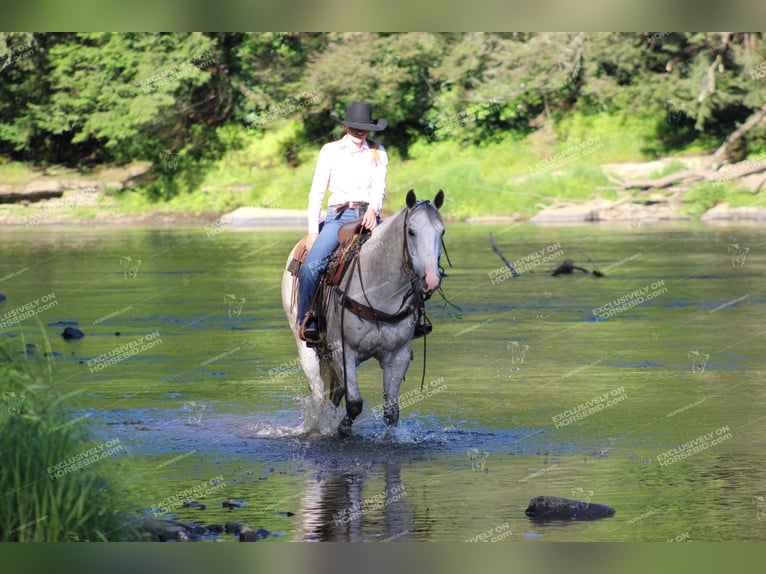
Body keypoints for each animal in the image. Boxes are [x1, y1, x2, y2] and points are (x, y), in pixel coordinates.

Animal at [284, 189, 448, 436]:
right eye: (411, 231)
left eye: (442, 231)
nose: (431, 280)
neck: (380, 289)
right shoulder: (343, 350)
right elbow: (354, 403)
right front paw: (342, 429)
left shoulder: (398, 354)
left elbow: (391, 412)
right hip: (306, 348)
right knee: (320, 396)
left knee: (334, 394)